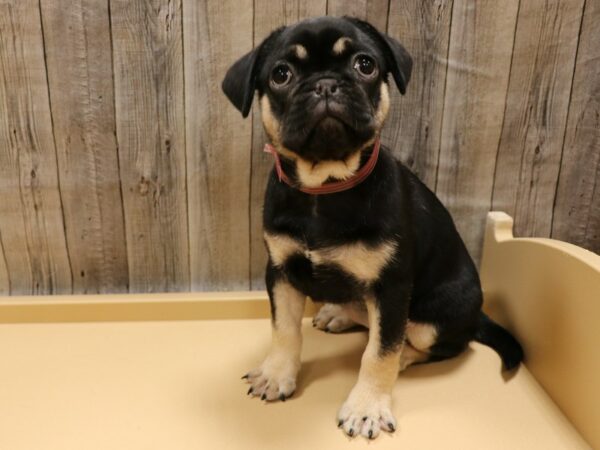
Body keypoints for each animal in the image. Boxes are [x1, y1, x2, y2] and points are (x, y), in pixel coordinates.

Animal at [223, 15, 524, 438]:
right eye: (281, 74)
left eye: (364, 65)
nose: (325, 83)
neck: (326, 187)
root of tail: (478, 315)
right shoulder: (281, 271)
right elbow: (284, 329)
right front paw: (277, 374)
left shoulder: (391, 288)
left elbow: (379, 352)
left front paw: (366, 407)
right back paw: (338, 313)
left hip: (431, 320)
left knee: (432, 344)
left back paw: (400, 357)